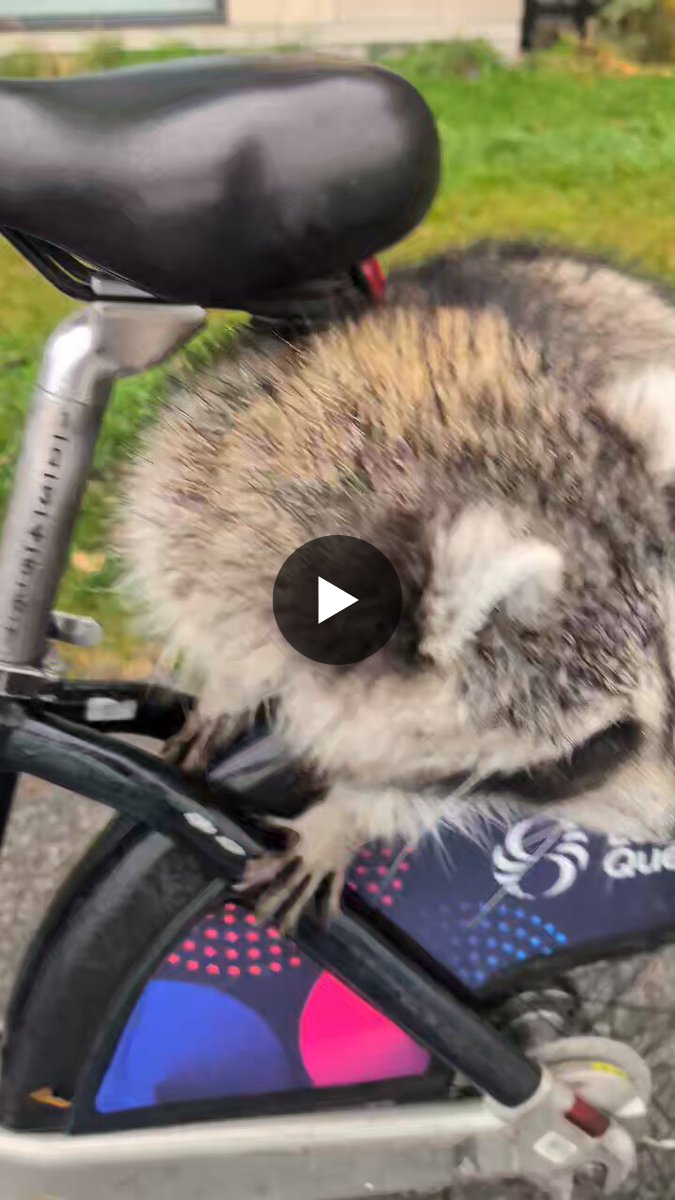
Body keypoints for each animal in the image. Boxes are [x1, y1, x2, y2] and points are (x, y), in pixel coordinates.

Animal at [121, 242, 675, 924]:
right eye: (606, 741)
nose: (672, 832)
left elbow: (419, 789)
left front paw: (343, 819)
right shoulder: (205, 479)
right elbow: (201, 603)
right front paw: (228, 683)